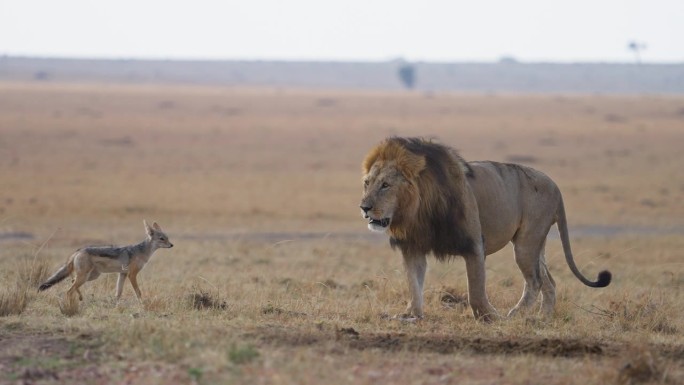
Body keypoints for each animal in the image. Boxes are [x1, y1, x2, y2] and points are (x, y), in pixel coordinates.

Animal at [360, 136, 612, 320]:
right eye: (367, 183)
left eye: (385, 185)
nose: (364, 207)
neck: (418, 211)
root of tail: (556, 186)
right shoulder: (413, 247)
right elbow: (414, 283)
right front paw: (411, 314)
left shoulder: (473, 244)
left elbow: (476, 290)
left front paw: (489, 317)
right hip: (536, 244)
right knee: (549, 282)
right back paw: (541, 318)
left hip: (526, 242)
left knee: (535, 281)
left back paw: (515, 314)